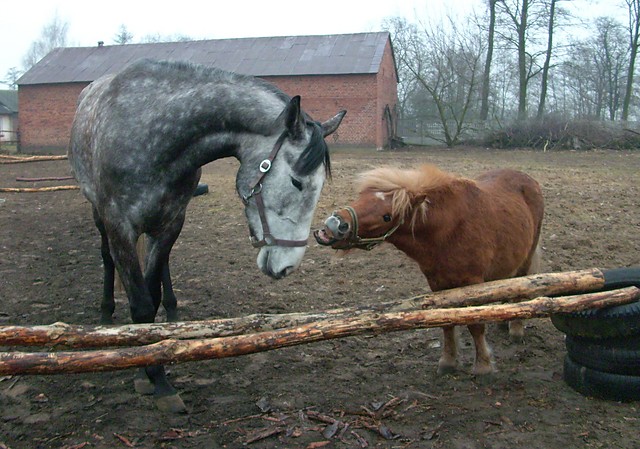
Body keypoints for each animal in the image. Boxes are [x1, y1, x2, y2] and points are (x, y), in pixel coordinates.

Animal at [69, 57, 344, 412]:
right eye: (296, 182)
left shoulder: (172, 222)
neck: (153, 134)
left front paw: (154, 371)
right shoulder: (119, 226)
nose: (287, 266)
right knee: (106, 259)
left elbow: (151, 296)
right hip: (99, 214)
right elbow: (141, 305)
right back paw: (106, 312)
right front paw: (152, 376)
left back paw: (172, 310)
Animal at [316, 164, 544, 374]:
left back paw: (516, 329)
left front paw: (483, 366)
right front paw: (448, 362)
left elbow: (476, 325)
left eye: (387, 217)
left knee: (520, 286)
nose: (333, 225)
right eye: (361, 196)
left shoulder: (472, 282)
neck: (448, 229)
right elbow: (445, 322)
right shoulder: (437, 284)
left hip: (526, 257)